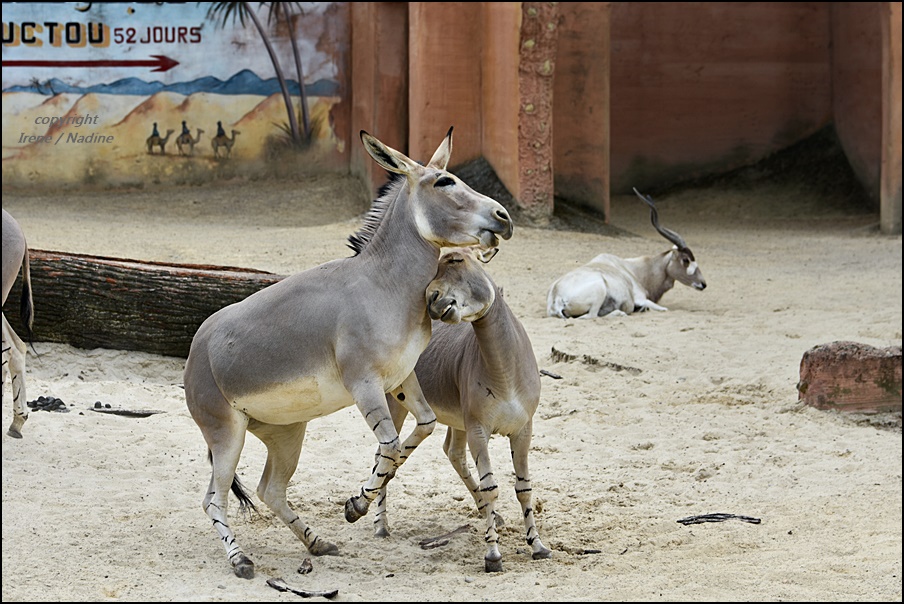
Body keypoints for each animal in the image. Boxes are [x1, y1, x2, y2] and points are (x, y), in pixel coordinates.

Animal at [182, 127, 516, 580]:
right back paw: (241, 560)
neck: (384, 284)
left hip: (286, 431)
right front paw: (357, 505)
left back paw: (316, 543)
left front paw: (360, 500)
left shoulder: (401, 377)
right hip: (225, 432)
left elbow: (422, 428)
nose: (504, 217)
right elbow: (390, 444)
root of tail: (195, 349)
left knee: (270, 489)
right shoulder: (364, 384)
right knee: (213, 498)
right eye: (445, 182)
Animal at [368, 248, 552, 572]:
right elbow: (491, 486)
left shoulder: (523, 430)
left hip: (457, 421)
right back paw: (381, 525)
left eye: (457, 260)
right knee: (383, 454)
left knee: (451, 452)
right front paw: (493, 555)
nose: (431, 299)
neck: (505, 369)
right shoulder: (479, 429)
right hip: (397, 405)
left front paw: (537, 545)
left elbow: (524, 488)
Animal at [548, 191, 704, 318]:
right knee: (591, 316)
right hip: (600, 290)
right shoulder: (641, 298)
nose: (703, 284)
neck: (633, 269)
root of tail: (557, 297)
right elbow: (664, 309)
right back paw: (620, 313)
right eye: (686, 260)